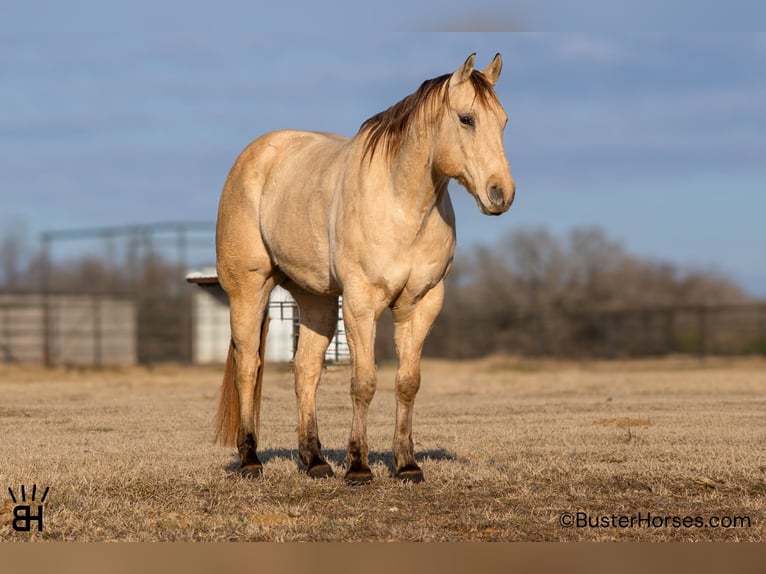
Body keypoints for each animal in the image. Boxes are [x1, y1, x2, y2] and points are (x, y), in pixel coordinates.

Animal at [214, 53, 515, 484]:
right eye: (466, 118)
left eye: (503, 121)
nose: (501, 194)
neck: (401, 204)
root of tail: (256, 155)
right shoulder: (360, 302)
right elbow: (364, 383)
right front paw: (358, 466)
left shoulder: (422, 304)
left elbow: (407, 383)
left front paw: (407, 465)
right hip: (248, 289)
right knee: (248, 367)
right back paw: (250, 460)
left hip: (317, 300)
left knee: (306, 369)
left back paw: (315, 461)